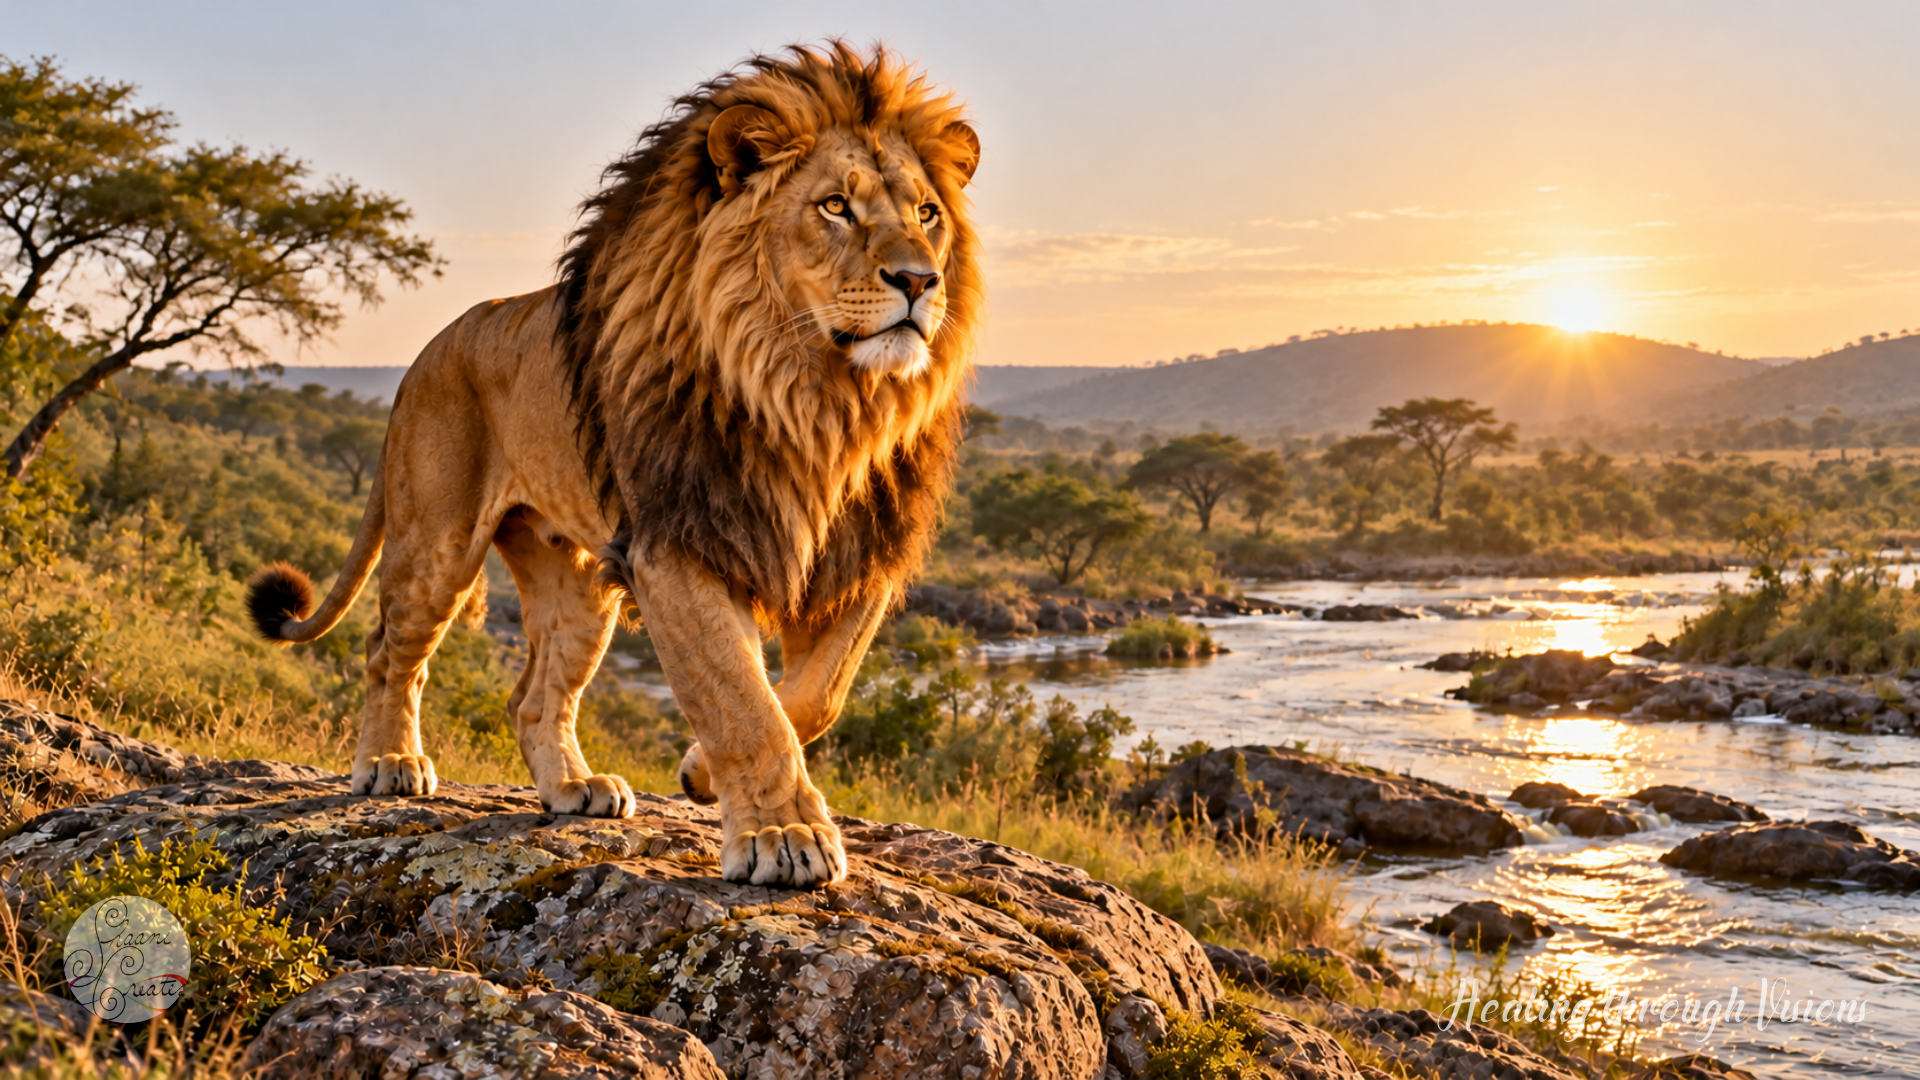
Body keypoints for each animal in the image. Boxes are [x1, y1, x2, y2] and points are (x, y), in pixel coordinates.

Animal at [245, 43, 981, 888]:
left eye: (927, 215)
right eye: (835, 207)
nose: (920, 281)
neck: (818, 401)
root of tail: (426, 351)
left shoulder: (857, 559)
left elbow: (810, 699)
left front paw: (700, 774)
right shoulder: (677, 544)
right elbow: (742, 699)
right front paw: (783, 835)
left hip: (578, 584)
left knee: (532, 698)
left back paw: (574, 788)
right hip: (436, 542)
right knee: (388, 653)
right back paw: (390, 763)